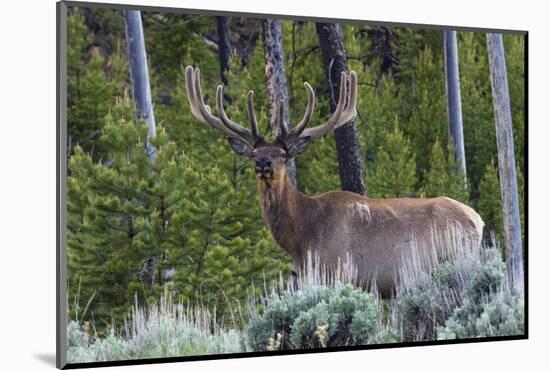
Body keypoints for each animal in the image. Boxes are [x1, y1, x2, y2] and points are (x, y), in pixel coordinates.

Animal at [184, 66, 484, 294]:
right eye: (254, 153)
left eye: (283, 154)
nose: (263, 163)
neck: (302, 237)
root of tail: (477, 220)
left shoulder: (340, 270)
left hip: (457, 257)